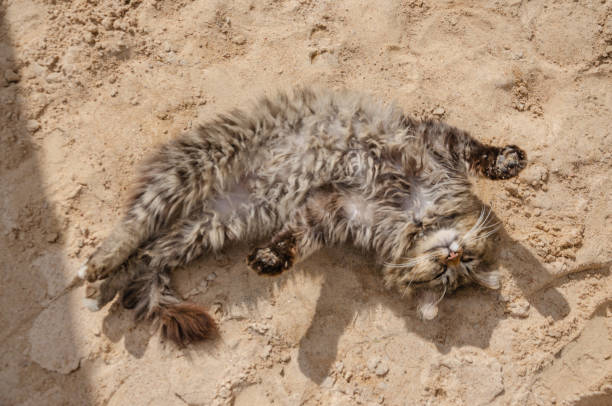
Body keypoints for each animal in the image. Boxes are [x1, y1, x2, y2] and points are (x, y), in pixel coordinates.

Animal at [76, 86, 524, 346]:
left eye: (456, 272)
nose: (452, 254)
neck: (412, 212)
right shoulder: (433, 143)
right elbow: (478, 151)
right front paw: (508, 160)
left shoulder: (329, 214)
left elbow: (293, 242)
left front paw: (268, 260)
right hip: (197, 165)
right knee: (136, 224)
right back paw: (96, 267)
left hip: (216, 224)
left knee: (152, 254)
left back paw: (101, 285)